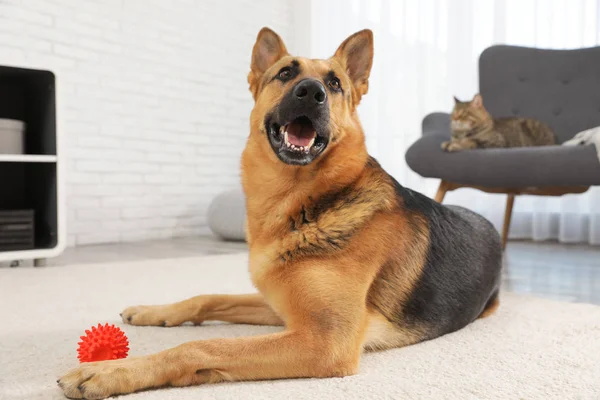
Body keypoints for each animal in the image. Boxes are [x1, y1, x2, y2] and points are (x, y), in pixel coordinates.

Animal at [59, 27, 502, 396]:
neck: (298, 204)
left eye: (334, 83)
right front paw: (155, 311)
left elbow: (202, 346)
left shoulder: (324, 341)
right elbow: (207, 297)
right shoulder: (279, 310)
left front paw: (111, 372)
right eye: (285, 74)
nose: (311, 92)